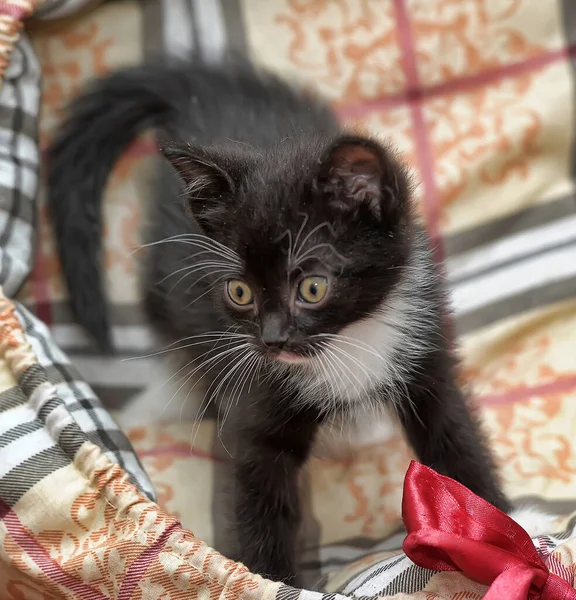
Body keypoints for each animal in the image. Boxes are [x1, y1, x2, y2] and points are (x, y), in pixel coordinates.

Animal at [47, 59, 548, 580]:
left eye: (312, 288)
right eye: (240, 291)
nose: (271, 340)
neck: (348, 339)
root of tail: (208, 90)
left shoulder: (423, 344)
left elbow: (454, 437)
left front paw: (510, 529)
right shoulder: (257, 398)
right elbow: (260, 492)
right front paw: (270, 581)